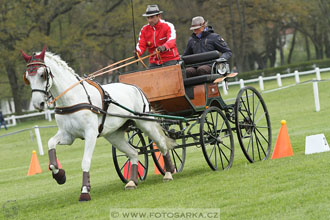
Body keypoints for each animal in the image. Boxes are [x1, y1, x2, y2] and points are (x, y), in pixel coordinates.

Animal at [20, 46, 177, 201]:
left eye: (42, 74)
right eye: (27, 77)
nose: (38, 104)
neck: (73, 98)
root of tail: (135, 87)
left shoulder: (90, 134)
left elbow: (85, 161)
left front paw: (85, 191)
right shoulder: (67, 135)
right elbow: (51, 147)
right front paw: (59, 175)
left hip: (146, 124)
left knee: (162, 145)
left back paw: (169, 173)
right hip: (114, 135)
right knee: (133, 153)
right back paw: (132, 181)